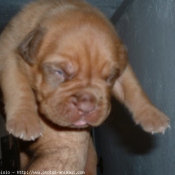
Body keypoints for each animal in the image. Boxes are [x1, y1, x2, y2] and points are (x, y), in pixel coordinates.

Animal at [0, 0, 170, 173]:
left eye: (109, 78)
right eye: (60, 72)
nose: (86, 106)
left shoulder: (123, 69)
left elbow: (133, 88)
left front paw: (152, 115)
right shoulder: (8, 52)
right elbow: (17, 85)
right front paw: (24, 120)